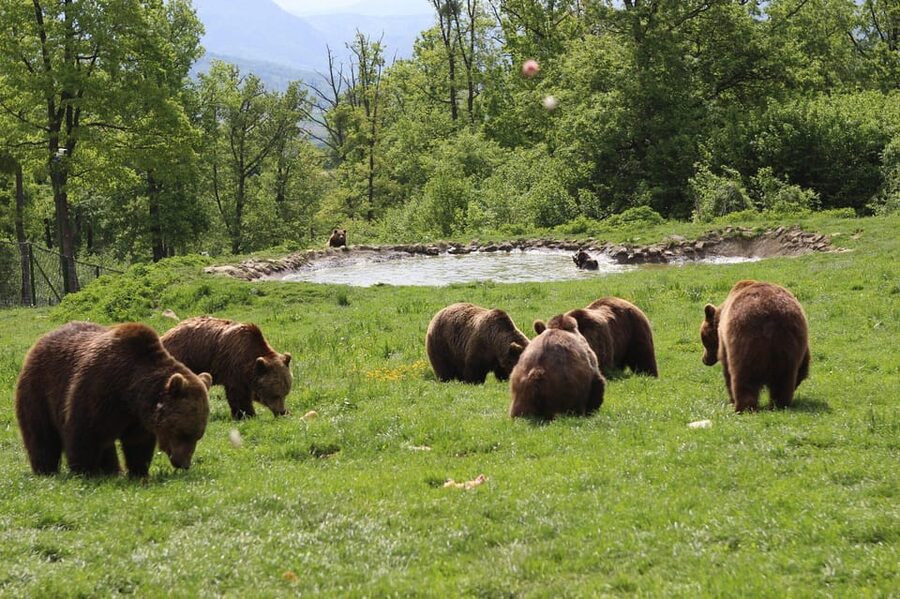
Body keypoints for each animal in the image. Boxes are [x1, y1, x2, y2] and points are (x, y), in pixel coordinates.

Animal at [14, 321, 212, 477]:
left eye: (198, 435)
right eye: (182, 433)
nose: (184, 463)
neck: (129, 392)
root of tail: (41, 340)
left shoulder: (137, 417)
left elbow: (138, 443)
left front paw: (139, 471)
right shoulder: (98, 389)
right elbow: (83, 433)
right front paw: (84, 470)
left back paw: (111, 470)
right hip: (39, 389)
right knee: (41, 433)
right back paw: (45, 469)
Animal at [161, 316, 293, 420]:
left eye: (285, 393)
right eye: (275, 394)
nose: (281, 412)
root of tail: (164, 336)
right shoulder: (234, 366)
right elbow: (239, 395)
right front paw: (246, 415)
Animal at [701, 280, 810, 412]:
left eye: (704, 339)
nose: (704, 360)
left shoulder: (724, 342)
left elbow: (726, 368)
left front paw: (731, 399)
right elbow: (803, 367)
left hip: (745, 341)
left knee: (743, 377)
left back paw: (743, 407)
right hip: (789, 342)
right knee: (784, 379)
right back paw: (779, 404)